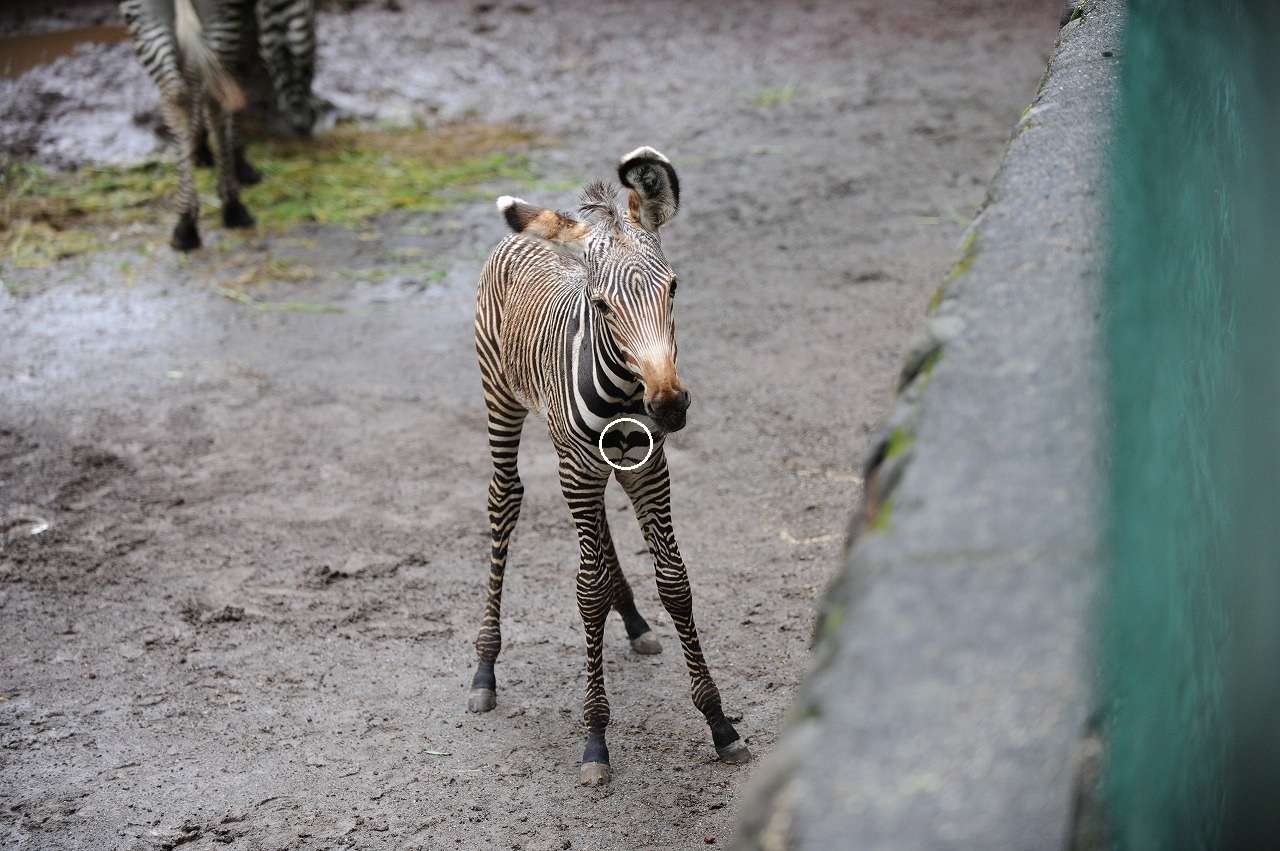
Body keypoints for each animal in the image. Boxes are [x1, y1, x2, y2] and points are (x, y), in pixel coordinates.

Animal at [119, 0, 314, 249]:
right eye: (309, 67)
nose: (305, 124)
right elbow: (238, 73)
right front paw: (236, 159)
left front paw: (198, 146)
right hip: (222, 11)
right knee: (214, 92)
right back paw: (232, 206)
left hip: (143, 9)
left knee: (175, 93)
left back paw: (185, 222)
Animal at [468, 144, 747, 783]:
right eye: (601, 305)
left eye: (674, 289)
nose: (669, 404)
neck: (624, 391)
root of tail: (520, 238)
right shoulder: (578, 470)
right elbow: (586, 591)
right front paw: (595, 737)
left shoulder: (649, 467)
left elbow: (674, 581)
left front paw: (719, 724)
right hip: (501, 401)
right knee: (505, 500)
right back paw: (485, 668)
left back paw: (636, 622)